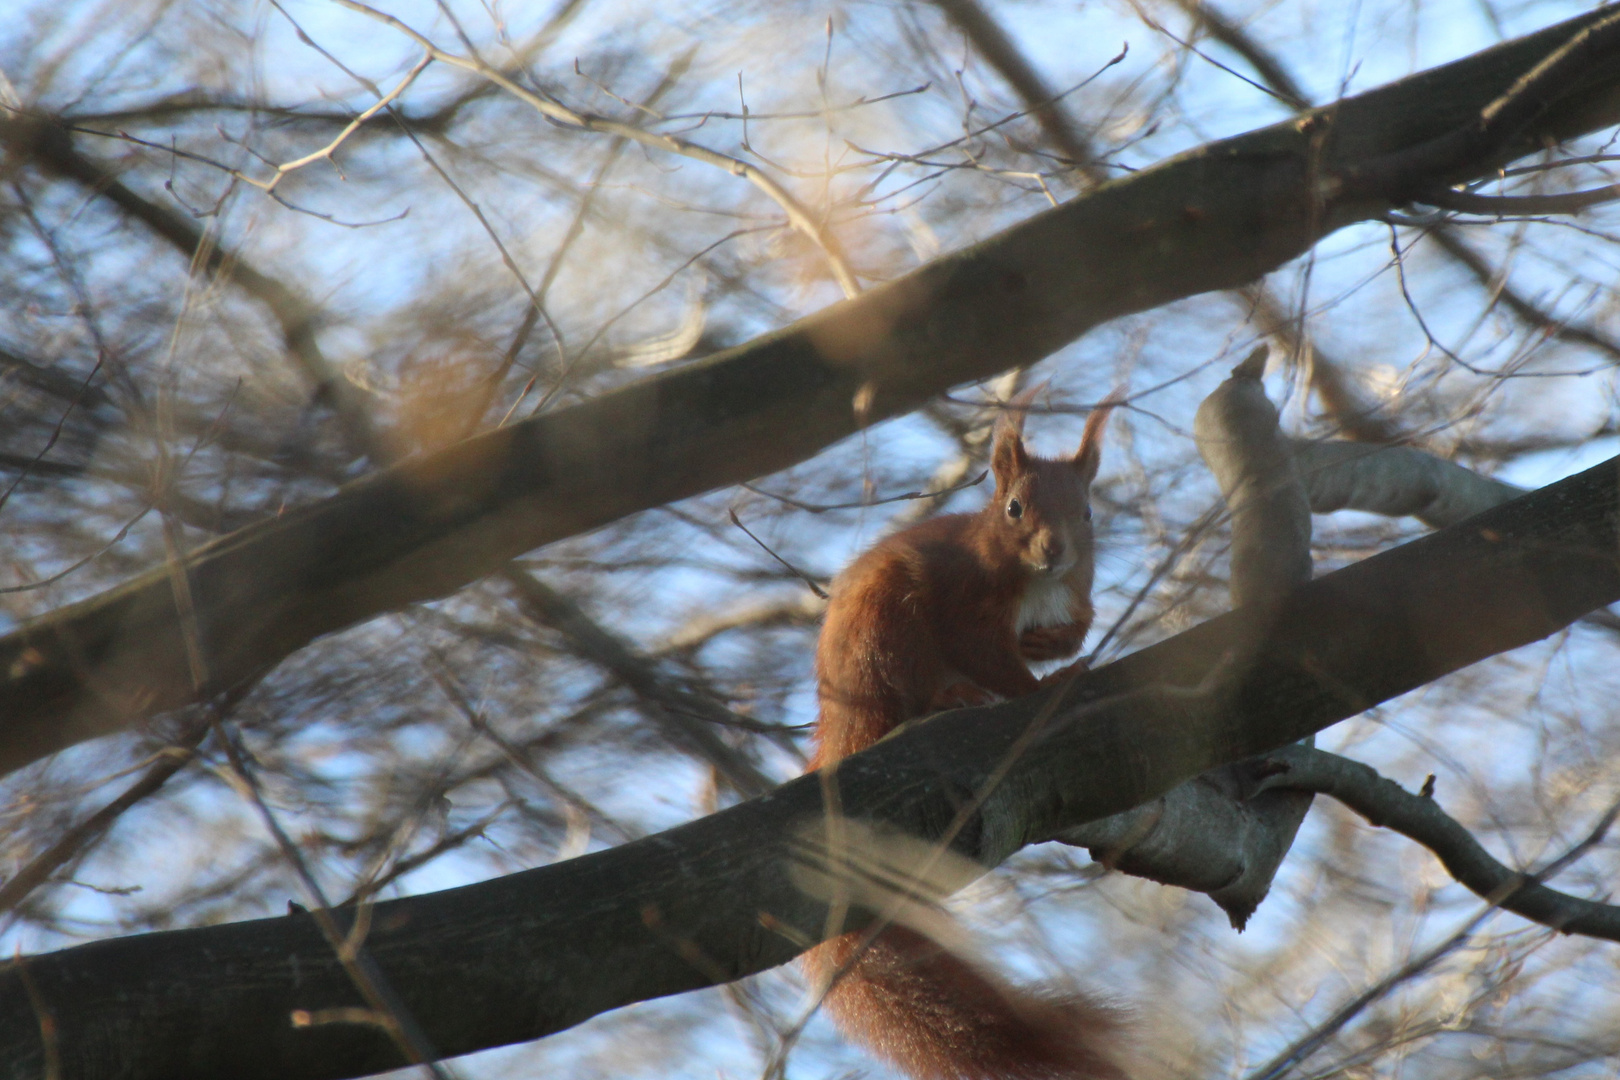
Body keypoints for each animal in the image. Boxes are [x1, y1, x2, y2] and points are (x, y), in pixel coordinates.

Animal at [800, 393, 1127, 1080]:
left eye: (1087, 511)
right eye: (1014, 508)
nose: (1054, 549)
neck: (1034, 582)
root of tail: (841, 732)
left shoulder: (1074, 593)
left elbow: (1075, 627)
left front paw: (1053, 646)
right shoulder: (962, 602)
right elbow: (983, 652)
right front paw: (1044, 683)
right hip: (885, 632)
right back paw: (947, 701)